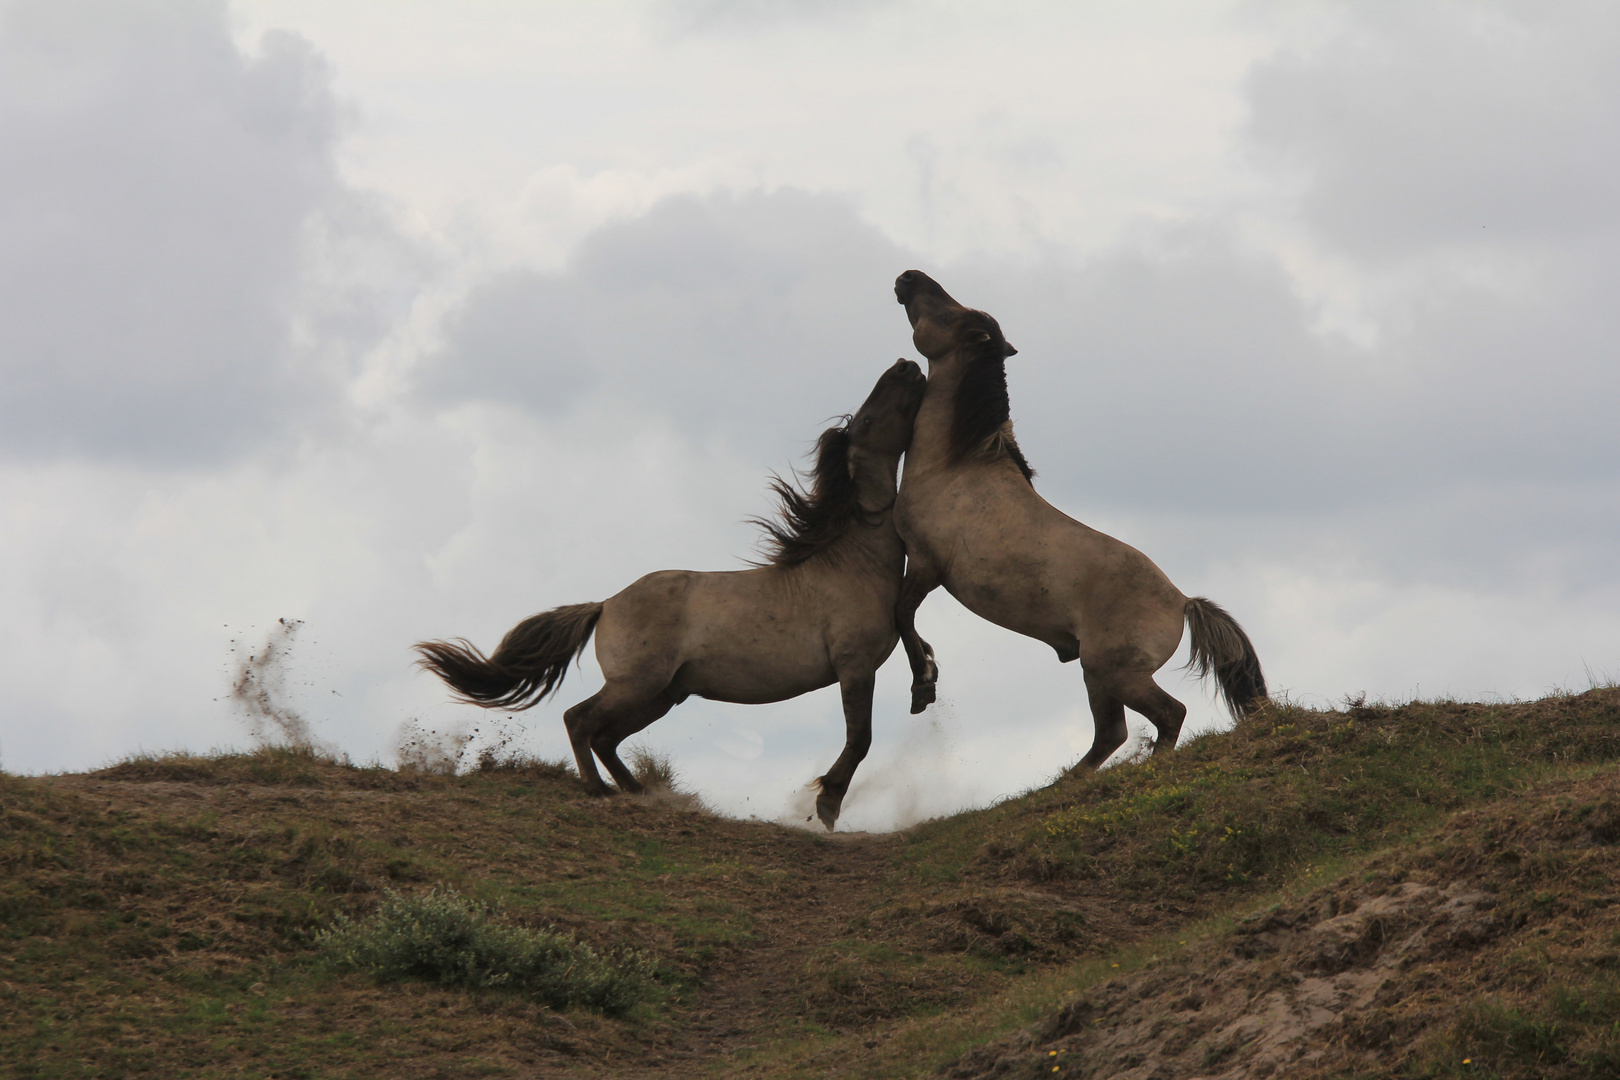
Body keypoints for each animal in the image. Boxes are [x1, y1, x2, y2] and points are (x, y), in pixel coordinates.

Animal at [411, 359, 933, 835]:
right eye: (867, 421)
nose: (906, 365)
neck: (850, 563)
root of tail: (605, 605)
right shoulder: (854, 667)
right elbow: (860, 739)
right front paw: (827, 805)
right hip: (637, 685)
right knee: (579, 720)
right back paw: (600, 791)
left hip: (661, 695)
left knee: (605, 737)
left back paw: (637, 791)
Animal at [887, 270, 1263, 767]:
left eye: (949, 314)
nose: (907, 278)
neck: (956, 465)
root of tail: (1182, 601)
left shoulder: (926, 565)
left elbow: (902, 616)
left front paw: (923, 685)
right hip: (1098, 675)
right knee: (1112, 733)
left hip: (1114, 671)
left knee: (1169, 714)